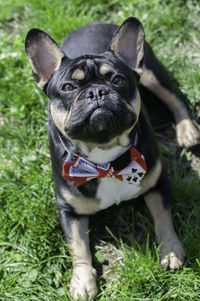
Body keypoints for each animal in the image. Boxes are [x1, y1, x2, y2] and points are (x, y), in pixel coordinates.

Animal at [25, 17, 199, 298]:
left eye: (118, 80)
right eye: (68, 87)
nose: (97, 92)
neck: (105, 159)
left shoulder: (158, 182)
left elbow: (164, 218)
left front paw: (171, 250)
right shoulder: (68, 210)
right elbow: (78, 246)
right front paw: (82, 281)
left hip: (151, 74)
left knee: (175, 99)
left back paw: (187, 131)